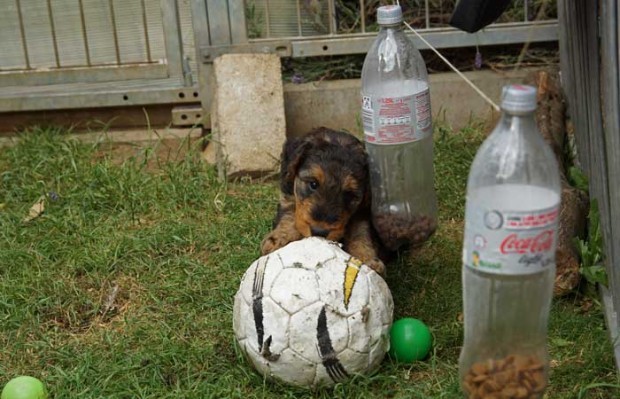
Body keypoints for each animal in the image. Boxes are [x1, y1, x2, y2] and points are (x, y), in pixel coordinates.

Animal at [260, 127, 386, 276]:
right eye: (313, 184)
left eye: (349, 194)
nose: (319, 232)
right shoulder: (288, 193)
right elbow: (289, 213)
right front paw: (278, 238)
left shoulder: (363, 212)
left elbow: (361, 232)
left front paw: (367, 258)